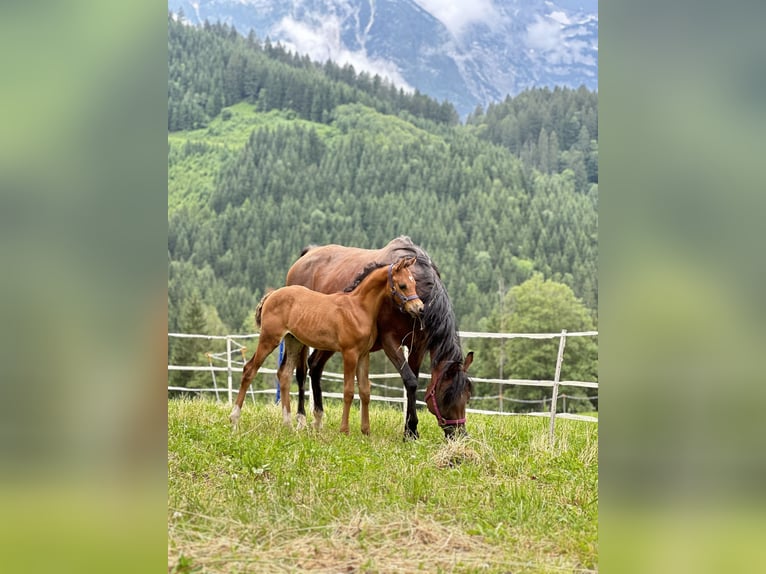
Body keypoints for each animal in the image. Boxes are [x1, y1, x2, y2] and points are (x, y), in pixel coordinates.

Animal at [230, 258, 426, 436]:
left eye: (414, 283)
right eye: (402, 285)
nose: (420, 308)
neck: (358, 308)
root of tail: (272, 295)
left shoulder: (364, 355)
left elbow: (365, 391)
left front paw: (366, 431)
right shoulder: (350, 353)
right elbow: (348, 391)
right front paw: (344, 430)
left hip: (293, 341)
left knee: (284, 374)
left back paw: (288, 426)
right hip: (269, 338)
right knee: (249, 369)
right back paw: (234, 420)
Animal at [284, 236, 472, 438]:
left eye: (468, 396)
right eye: (447, 396)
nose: (460, 434)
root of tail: (307, 254)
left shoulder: (418, 346)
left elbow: (411, 381)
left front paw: (409, 430)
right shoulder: (390, 341)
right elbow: (410, 381)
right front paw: (411, 429)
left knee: (315, 366)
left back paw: (318, 420)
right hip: (300, 339)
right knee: (301, 373)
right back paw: (301, 419)